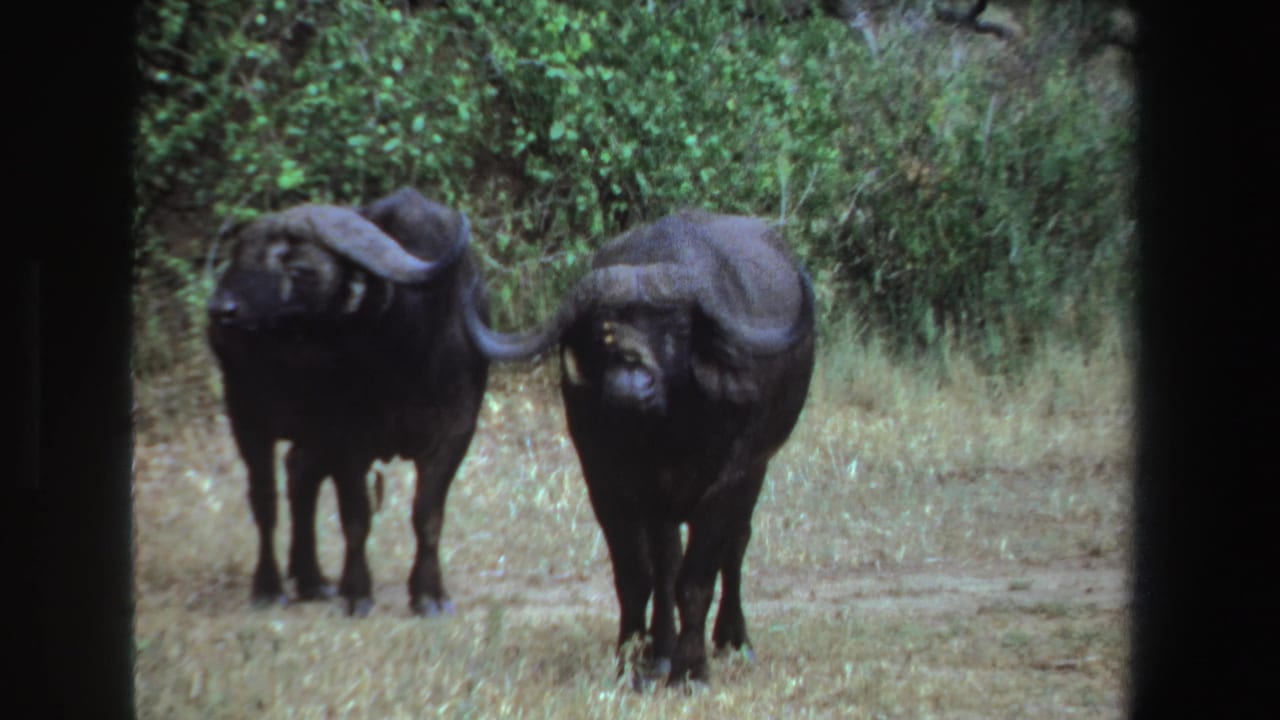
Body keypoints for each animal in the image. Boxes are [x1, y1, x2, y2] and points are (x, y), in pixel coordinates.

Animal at [207, 187, 488, 617]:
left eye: (299, 268)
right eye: (239, 256)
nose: (222, 309)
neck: (408, 351)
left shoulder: (456, 431)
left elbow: (428, 515)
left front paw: (429, 594)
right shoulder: (348, 437)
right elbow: (356, 517)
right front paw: (358, 593)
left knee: (299, 474)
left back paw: (311, 579)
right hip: (247, 415)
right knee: (265, 500)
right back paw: (269, 587)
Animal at [462, 210, 815, 684]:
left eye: (679, 328)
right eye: (602, 330)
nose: (629, 383)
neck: (666, 434)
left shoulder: (732, 477)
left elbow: (697, 577)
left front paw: (691, 670)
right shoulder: (607, 482)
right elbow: (638, 575)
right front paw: (632, 661)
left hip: (756, 471)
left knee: (736, 544)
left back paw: (733, 640)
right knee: (667, 563)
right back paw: (660, 652)